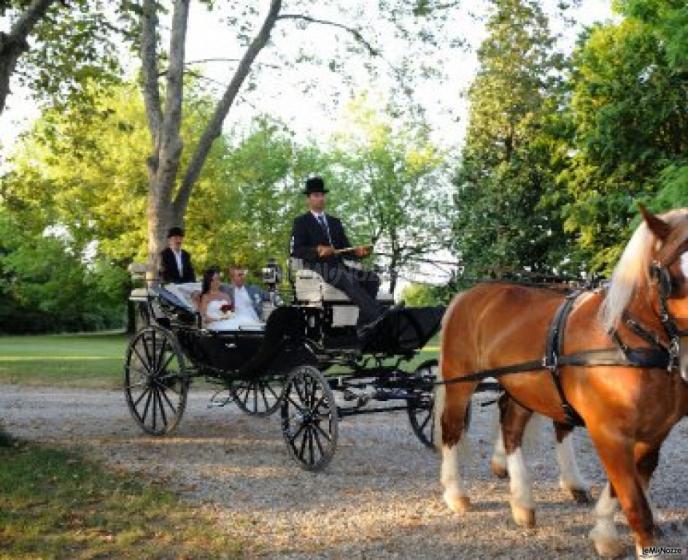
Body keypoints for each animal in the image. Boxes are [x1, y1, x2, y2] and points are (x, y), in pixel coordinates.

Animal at [436, 208, 688, 556]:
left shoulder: (655, 431)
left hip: (523, 386)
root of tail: (467, 294)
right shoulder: (608, 431)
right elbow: (634, 500)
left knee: (512, 427)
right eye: (672, 274)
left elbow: (631, 481)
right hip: (460, 380)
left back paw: (522, 503)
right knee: (451, 428)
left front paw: (604, 530)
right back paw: (456, 494)